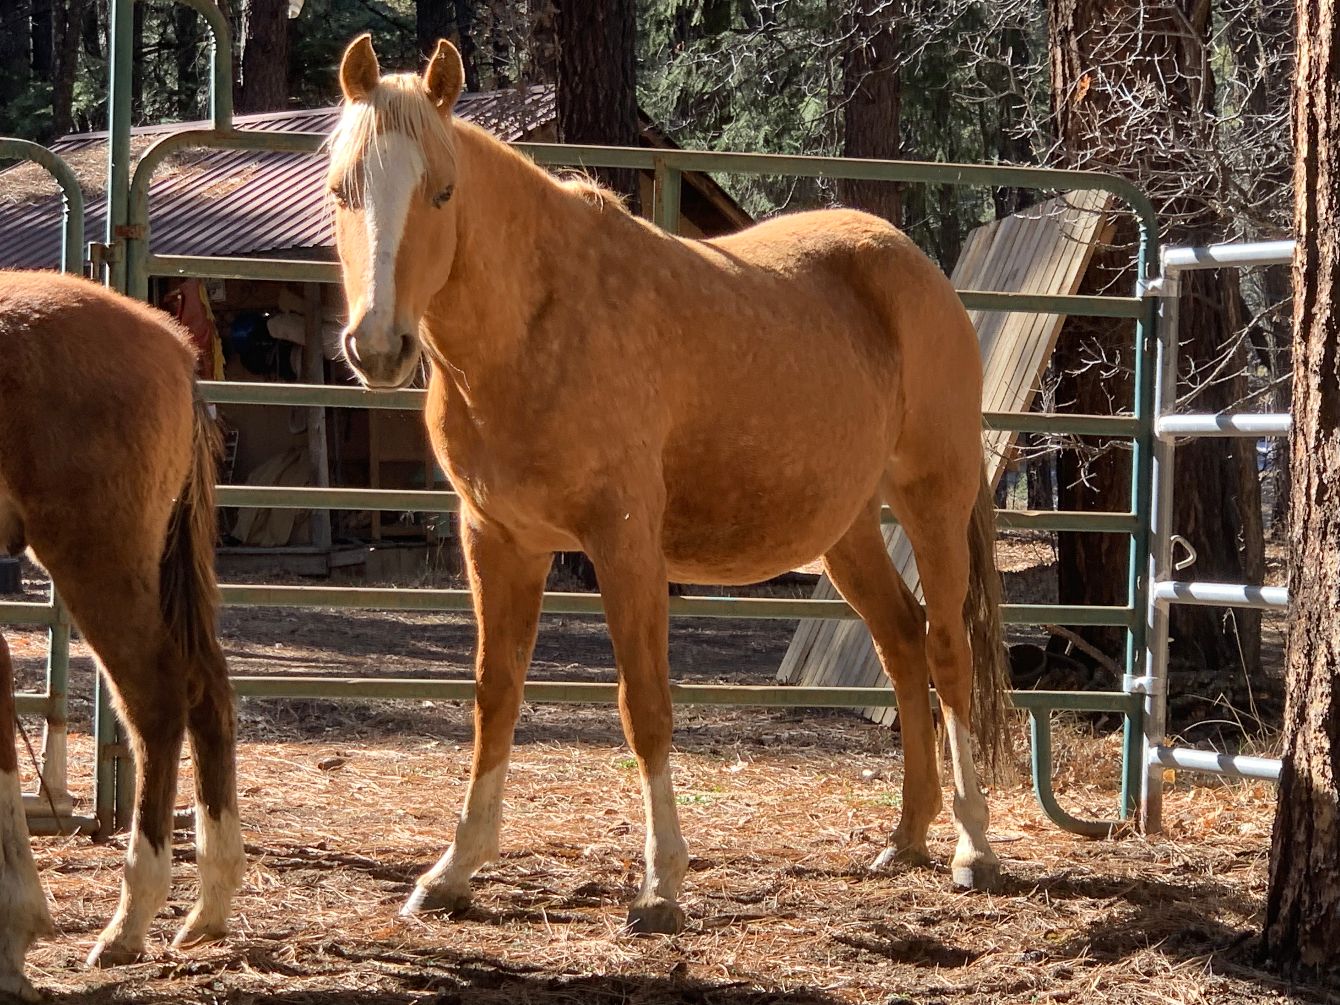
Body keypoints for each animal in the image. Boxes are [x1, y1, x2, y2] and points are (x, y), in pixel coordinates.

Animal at [0, 272, 243, 999]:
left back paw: (131, 919)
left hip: (98, 563)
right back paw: (208, 905)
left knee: (157, 702)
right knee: (208, 691)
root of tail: (173, 345)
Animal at [328, 34, 1013, 934]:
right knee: (900, 641)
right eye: (342, 189)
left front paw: (660, 884)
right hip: (846, 529)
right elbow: (493, 698)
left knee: (945, 649)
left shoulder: (624, 545)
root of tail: (914, 264)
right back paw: (905, 836)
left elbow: (644, 706)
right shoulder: (498, 540)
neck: (536, 324)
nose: (378, 346)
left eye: (441, 192)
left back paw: (974, 845)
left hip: (933, 496)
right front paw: (453, 870)